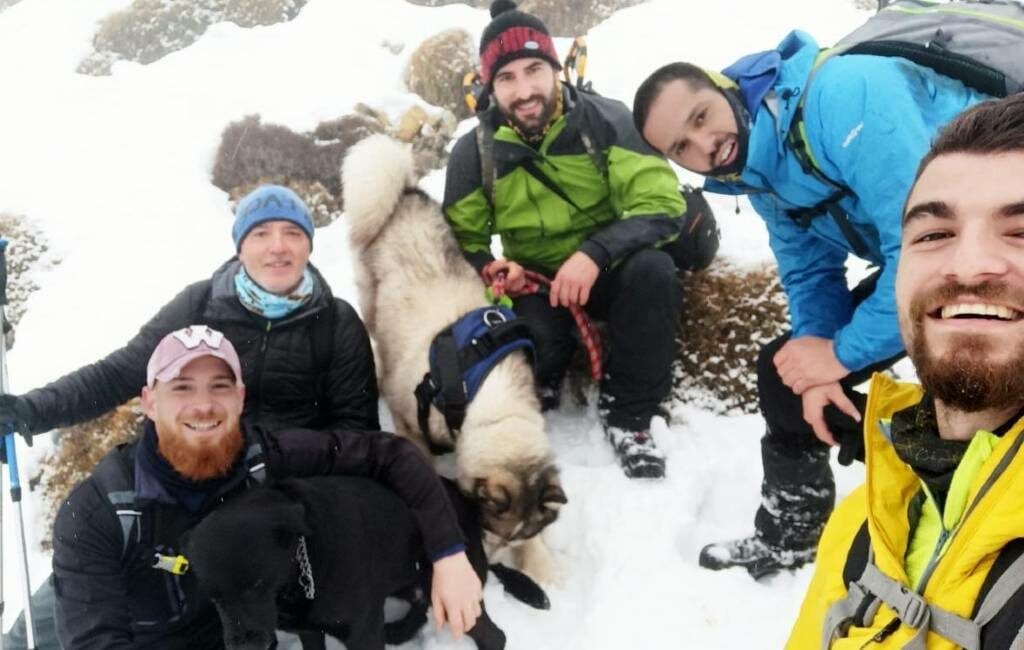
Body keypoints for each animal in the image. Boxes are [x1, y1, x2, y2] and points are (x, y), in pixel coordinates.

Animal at [185, 472, 507, 650]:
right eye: (213, 597)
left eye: (256, 584)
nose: (245, 646)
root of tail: (464, 500)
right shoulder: (309, 631)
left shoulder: (363, 635)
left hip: (448, 592)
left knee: (496, 638)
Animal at [344, 133, 569, 585]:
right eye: (492, 526)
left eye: (517, 536)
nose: (495, 563)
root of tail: (403, 195)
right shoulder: (410, 418)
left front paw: (541, 564)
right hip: (372, 300)